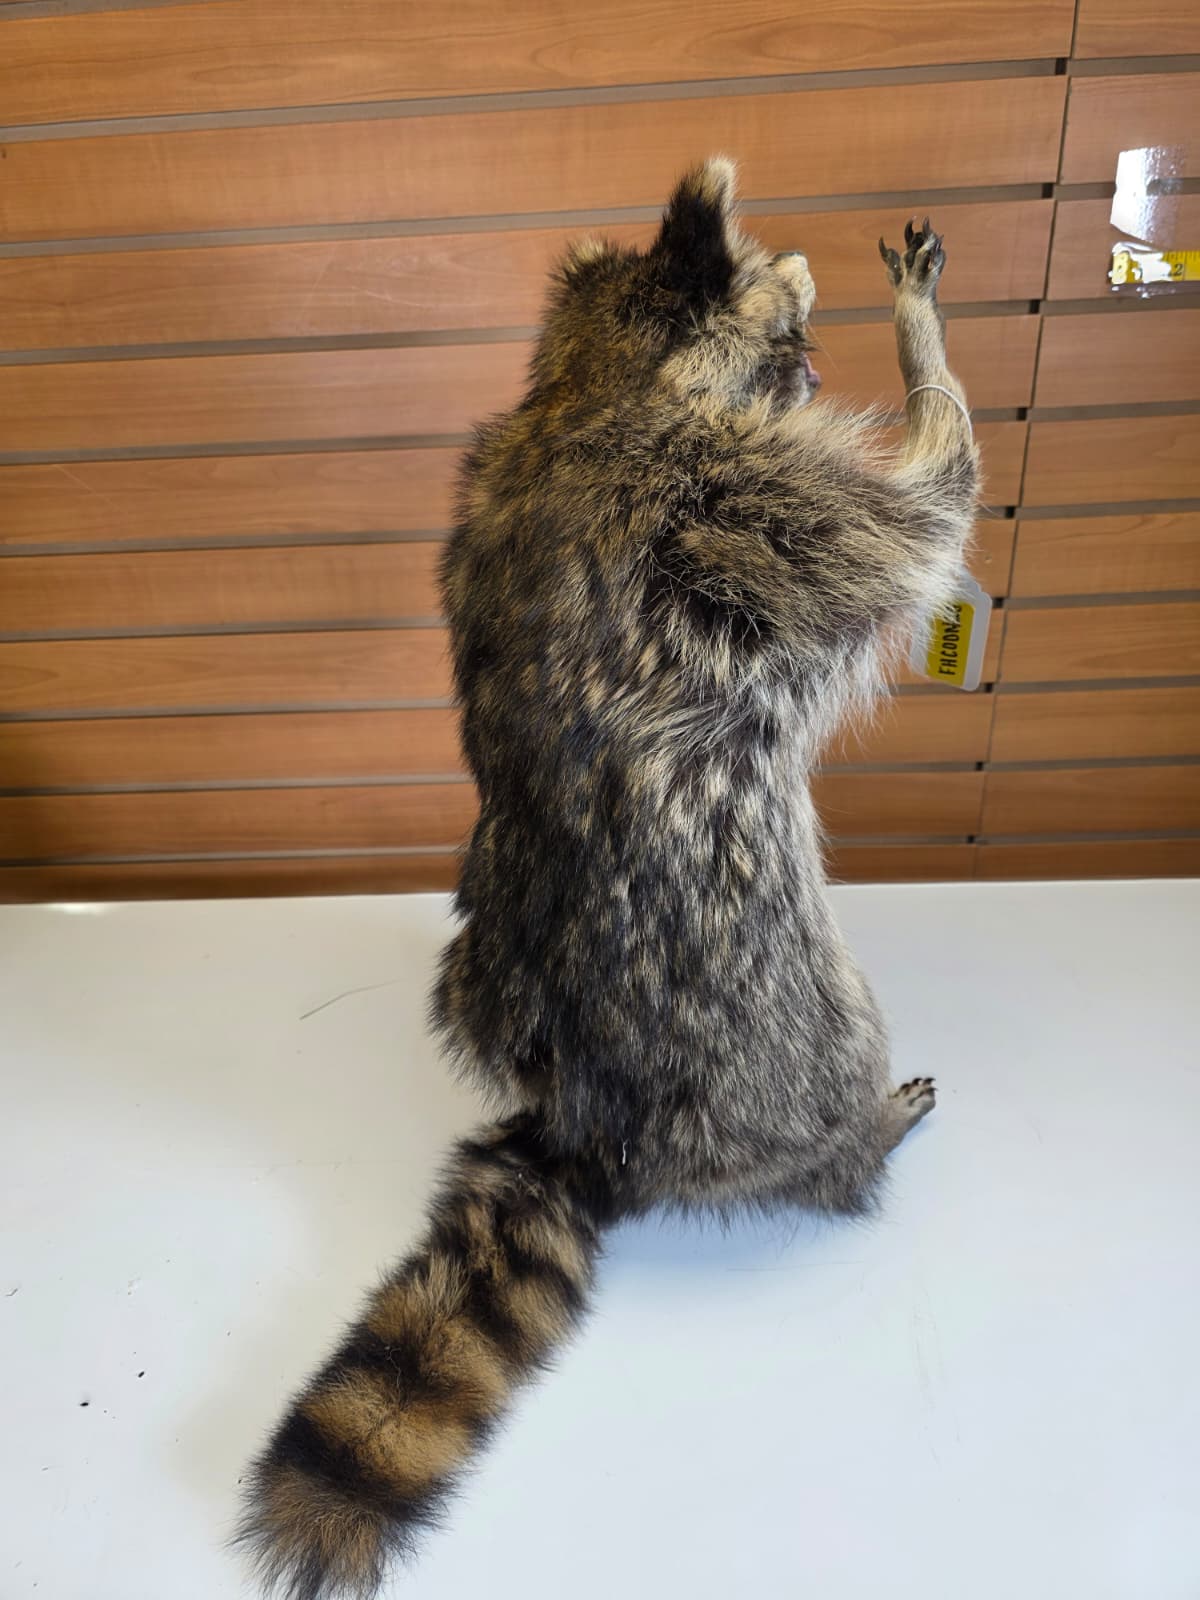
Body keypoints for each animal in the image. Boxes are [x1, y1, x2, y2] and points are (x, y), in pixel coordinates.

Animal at [239, 157, 979, 1598]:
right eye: (794, 337)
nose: (820, 369)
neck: (590, 381)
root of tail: (587, 1119)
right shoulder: (752, 506)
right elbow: (929, 501)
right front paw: (925, 352)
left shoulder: (486, 481)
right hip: (773, 1021)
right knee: (832, 1072)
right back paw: (860, 1134)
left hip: (482, 983)